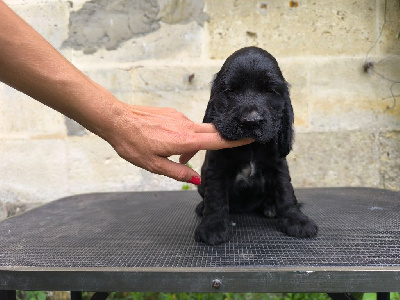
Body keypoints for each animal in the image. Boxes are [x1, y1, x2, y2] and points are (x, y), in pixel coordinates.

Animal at [195, 45, 318, 245]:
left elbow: (286, 192)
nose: (250, 121)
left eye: (271, 91)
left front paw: (297, 220)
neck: (250, 146)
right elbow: (215, 196)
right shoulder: (217, 168)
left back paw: (271, 207)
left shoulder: (278, 166)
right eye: (230, 90)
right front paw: (212, 226)